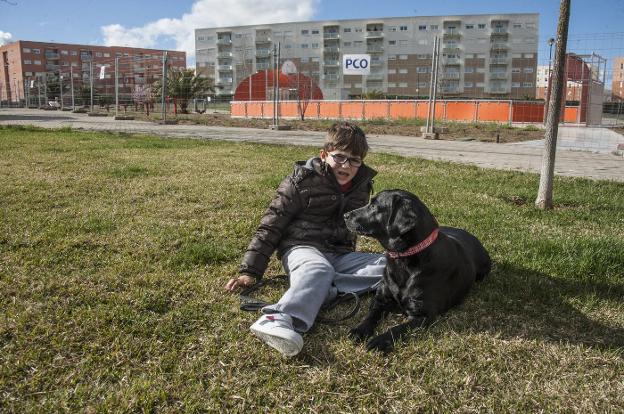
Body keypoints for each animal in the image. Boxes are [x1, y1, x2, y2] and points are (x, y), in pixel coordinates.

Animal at [344, 189, 490, 350]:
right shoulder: (381, 299)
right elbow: (370, 316)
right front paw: (359, 330)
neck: (404, 258)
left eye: (374, 206)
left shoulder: (423, 315)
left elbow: (397, 328)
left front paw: (380, 341)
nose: (345, 215)